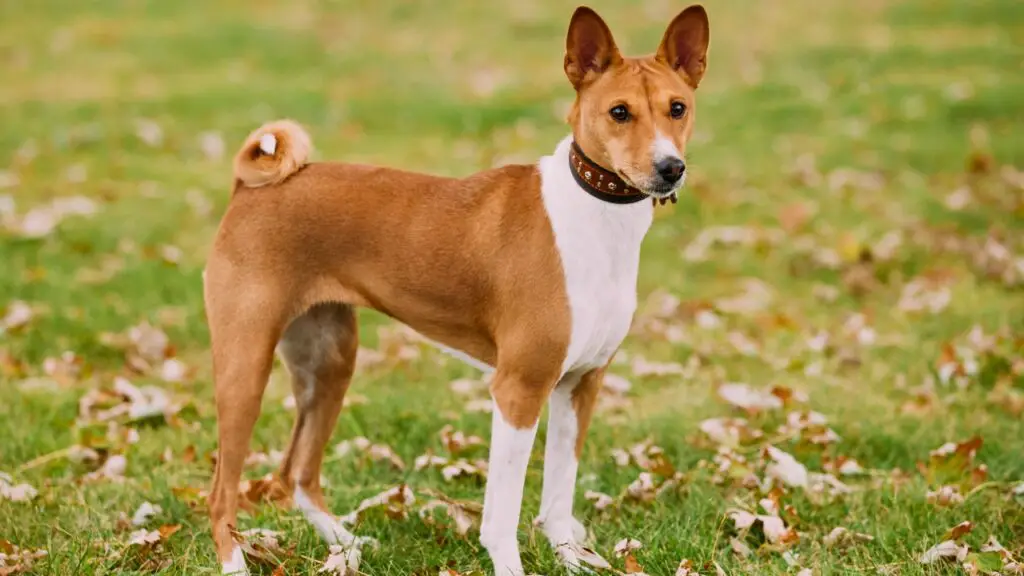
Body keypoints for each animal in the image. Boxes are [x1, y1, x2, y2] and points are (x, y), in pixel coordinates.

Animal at [203, 5, 708, 573]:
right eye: (619, 112)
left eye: (677, 108)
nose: (670, 168)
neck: (594, 218)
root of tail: (249, 189)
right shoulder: (518, 388)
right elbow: (503, 513)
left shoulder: (580, 384)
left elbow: (559, 495)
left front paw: (572, 559)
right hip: (246, 368)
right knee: (221, 491)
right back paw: (235, 560)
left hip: (329, 363)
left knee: (297, 473)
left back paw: (344, 543)